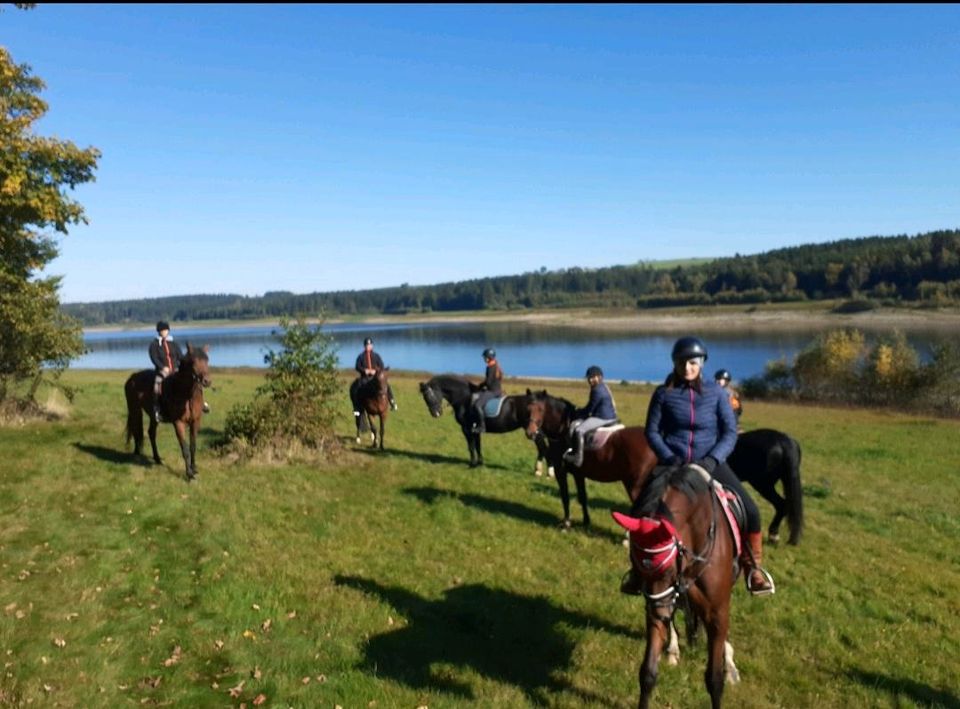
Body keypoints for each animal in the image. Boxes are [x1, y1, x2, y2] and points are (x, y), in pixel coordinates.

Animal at [124, 344, 211, 482]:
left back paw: (157, 459)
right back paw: (137, 454)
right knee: (136, 430)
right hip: (135, 410)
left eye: (207, 360)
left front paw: (194, 469)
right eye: (193, 361)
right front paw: (189, 474)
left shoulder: (195, 421)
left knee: (151, 433)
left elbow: (193, 447)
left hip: (153, 416)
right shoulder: (178, 423)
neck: (186, 395)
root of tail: (132, 378)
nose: (207, 381)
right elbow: (185, 449)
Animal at [420, 374, 548, 468]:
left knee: (542, 447)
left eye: (429, 396)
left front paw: (472, 464)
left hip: (533, 431)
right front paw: (479, 463)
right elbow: (478, 446)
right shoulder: (475, 429)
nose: (435, 414)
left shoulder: (466, 429)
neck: (464, 398)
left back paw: (540, 470)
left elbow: (471, 446)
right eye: (424, 398)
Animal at [524, 390, 660, 528]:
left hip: (634, 485)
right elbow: (582, 497)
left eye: (541, 409)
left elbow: (565, 496)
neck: (564, 431)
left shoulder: (560, 471)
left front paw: (566, 522)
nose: (530, 432)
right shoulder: (578, 474)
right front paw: (586, 521)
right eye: (528, 408)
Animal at [616, 464, 744, 708]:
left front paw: (726, 666)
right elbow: (648, 673)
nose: (661, 615)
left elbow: (714, 679)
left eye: (668, 569)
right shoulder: (657, 601)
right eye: (638, 567)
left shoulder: (717, 611)